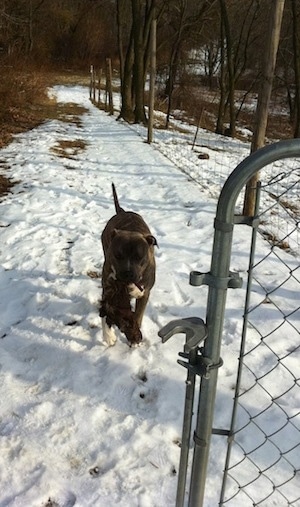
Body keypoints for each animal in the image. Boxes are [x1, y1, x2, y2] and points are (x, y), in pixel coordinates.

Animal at [100, 185, 158, 348]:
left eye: (139, 257)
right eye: (117, 255)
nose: (127, 273)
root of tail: (122, 212)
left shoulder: (144, 294)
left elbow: (137, 316)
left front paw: (134, 336)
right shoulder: (109, 290)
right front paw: (109, 336)